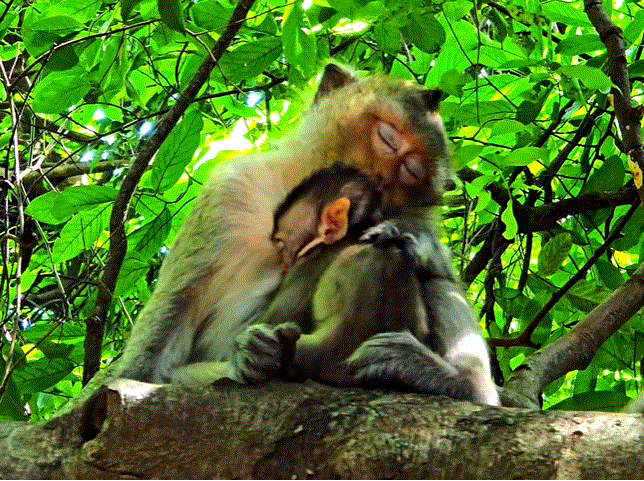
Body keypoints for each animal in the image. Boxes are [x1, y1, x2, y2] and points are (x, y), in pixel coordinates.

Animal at [116, 64, 452, 387]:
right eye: (386, 138)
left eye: (412, 170)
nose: (382, 180)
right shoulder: (229, 192)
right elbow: (170, 324)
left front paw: (418, 241)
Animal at [228, 163, 499, 405]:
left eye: (282, 245)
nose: (283, 266)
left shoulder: (307, 264)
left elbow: (272, 318)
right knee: (438, 282)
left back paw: (466, 383)